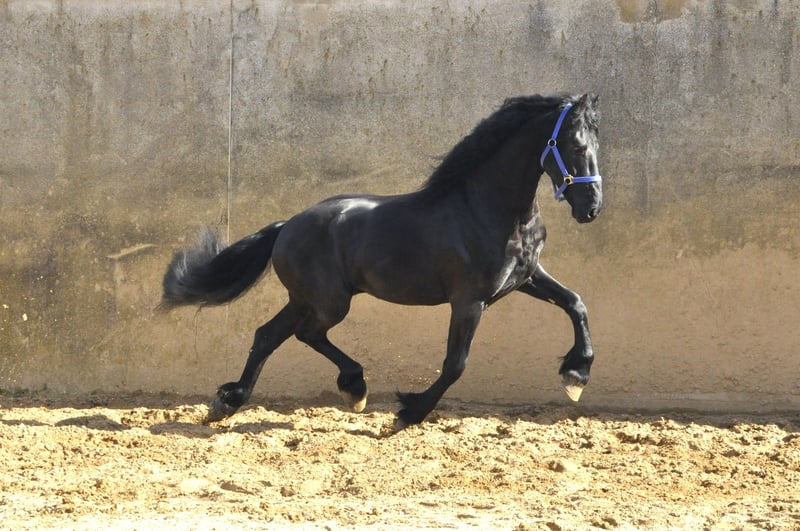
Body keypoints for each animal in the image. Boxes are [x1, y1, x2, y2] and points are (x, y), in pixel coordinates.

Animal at [160, 93, 604, 427]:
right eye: (575, 146)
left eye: (596, 145)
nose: (591, 208)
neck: (489, 210)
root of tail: (286, 227)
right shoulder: (469, 301)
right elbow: (455, 364)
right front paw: (408, 412)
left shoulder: (526, 278)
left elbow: (575, 302)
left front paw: (576, 375)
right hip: (330, 302)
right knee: (306, 334)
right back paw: (354, 387)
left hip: (305, 299)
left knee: (267, 335)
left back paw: (229, 402)